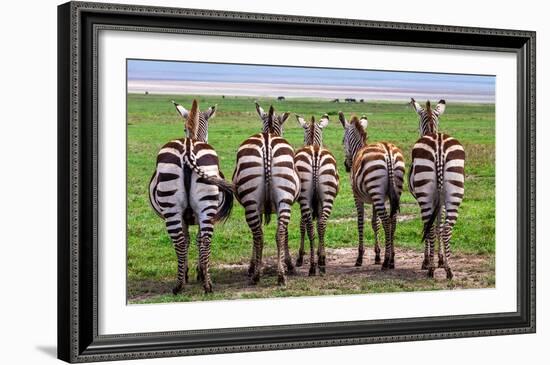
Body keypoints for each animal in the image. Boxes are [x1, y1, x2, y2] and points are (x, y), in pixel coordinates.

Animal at [148, 98, 234, 292]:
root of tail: (188, 148)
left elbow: (189, 240)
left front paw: (191, 272)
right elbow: (193, 240)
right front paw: (196, 272)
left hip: (177, 208)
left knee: (184, 241)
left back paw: (183, 284)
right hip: (202, 207)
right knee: (203, 240)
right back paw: (205, 284)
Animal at [233, 101, 302, 284]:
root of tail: (267, 140)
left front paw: (252, 266)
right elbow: (285, 234)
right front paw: (287, 264)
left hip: (253, 202)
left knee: (259, 235)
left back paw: (258, 274)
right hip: (283, 199)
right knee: (279, 233)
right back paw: (280, 274)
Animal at [296, 113, 338, 272]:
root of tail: (314, 152)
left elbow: (301, 225)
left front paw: (300, 256)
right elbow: (317, 222)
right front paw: (321, 253)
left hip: (305, 198)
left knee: (310, 226)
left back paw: (314, 265)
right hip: (328, 196)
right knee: (321, 224)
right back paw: (320, 262)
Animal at [338, 112, 408, 268]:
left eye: (342, 140)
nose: (346, 165)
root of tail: (388, 151)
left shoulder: (357, 197)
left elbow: (361, 223)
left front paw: (360, 257)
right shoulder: (375, 199)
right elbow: (375, 223)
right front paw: (377, 255)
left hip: (376, 189)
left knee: (387, 221)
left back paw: (387, 261)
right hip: (390, 191)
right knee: (393, 221)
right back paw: (391, 259)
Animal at [410, 98, 466, 278]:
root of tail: (440, 144)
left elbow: (431, 227)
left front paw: (428, 260)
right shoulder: (441, 202)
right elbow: (439, 226)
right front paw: (441, 259)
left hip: (425, 195)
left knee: (429, 227)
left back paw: (431, 268)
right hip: (455, 191)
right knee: (447, 228)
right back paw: (448, 269)